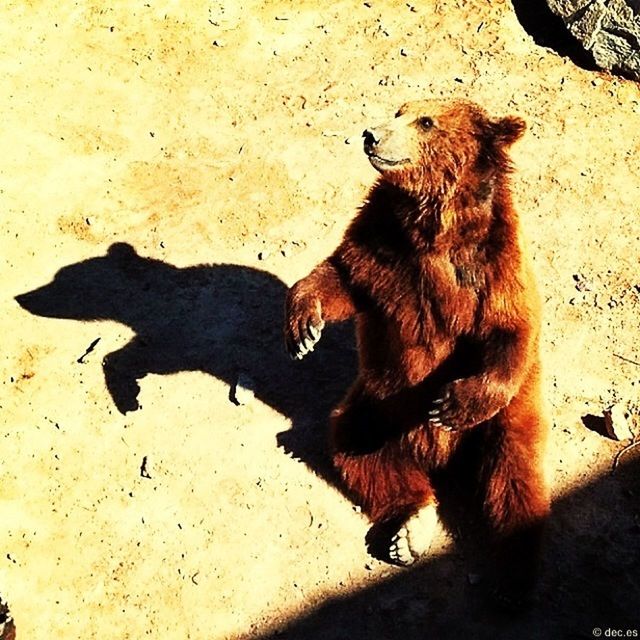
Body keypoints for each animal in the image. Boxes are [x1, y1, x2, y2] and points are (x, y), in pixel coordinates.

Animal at [284, 97, 552, 604]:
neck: (432, 225)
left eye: (425, 121)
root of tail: (441, 458)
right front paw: (304, 330)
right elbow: (341, 276)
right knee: (357, 446)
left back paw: (512, 572)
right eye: (399, 110)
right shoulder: (382, 242)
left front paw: (451, 405)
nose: (371, 134)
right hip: (379, 406)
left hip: (506, 419)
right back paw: (409, 527)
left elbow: (510, 327)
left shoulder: (492, 260)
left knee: (514, 475)